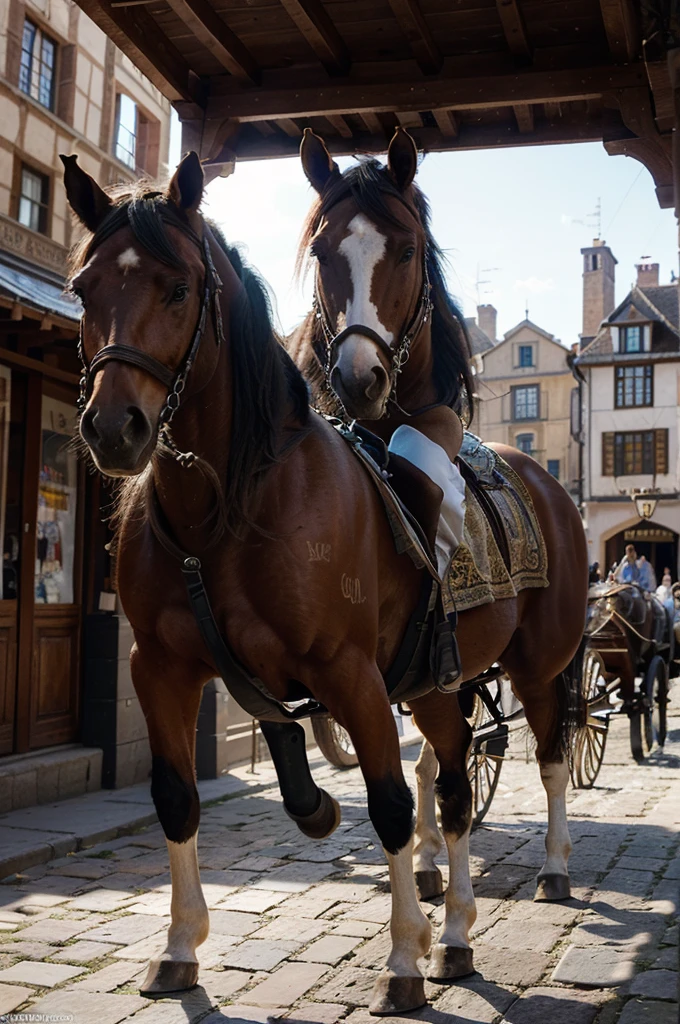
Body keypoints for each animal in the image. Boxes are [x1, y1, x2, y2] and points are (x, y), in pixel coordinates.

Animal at [61, 151, 561, 1015]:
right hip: (438, 689)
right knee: (454, 783)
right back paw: (456, 930)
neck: (227, 508)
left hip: (533, 666)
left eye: (178, 288)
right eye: (86, 289)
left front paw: (401, 958)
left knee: (545, 757)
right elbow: (178, 797)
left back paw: (538, 878)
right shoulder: (159, 669)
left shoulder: (352, 674)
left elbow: (389, 806)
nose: (113, 427)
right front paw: (180, 945)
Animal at [286, 128, 589, 929]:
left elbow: (450, 777)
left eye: (405, 248)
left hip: (538, 663)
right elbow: (423, 773)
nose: (357, 377)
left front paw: (450, 915)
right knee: (436, 759)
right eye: (324, 250)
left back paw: (554, 865)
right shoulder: (408, 677)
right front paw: (427, 876)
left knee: (551, 752)